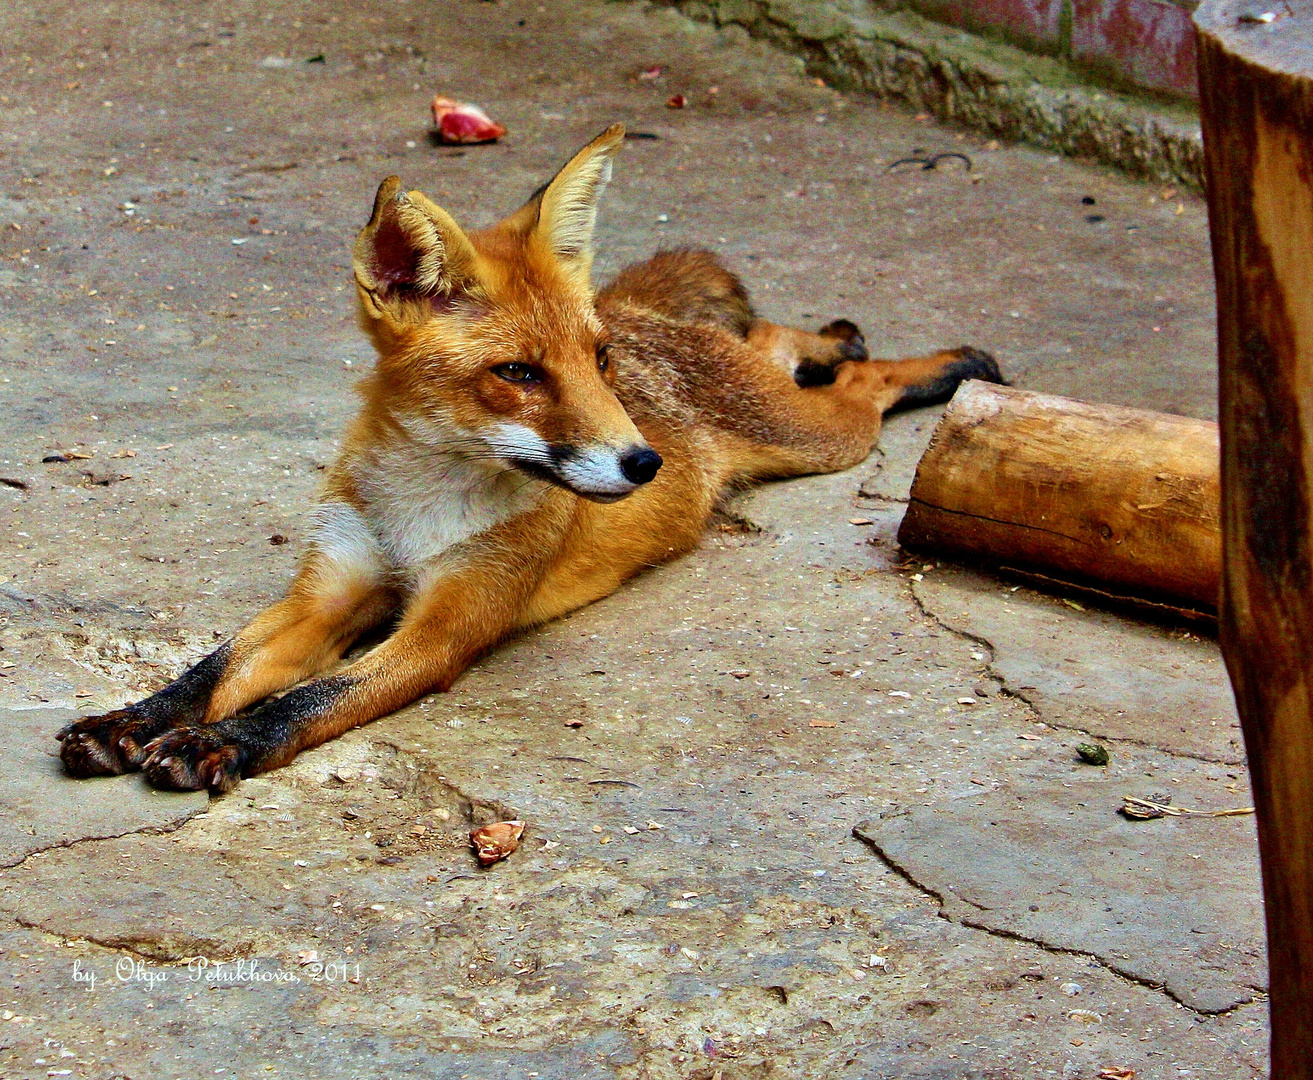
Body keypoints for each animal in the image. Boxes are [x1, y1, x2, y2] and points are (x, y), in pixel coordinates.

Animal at [48, 124, 992, 792]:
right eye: (518, 374)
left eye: (596, 363)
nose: (643, 464)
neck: (418, 512)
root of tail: (641, 317)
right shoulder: (327, 591)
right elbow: (216, 665)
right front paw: (137, 719)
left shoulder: (446, 625)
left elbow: (305, 700)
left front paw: (218, 743)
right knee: (776, 339)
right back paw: (831, 335)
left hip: (819, 440)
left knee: (861, 385)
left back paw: (945, 364)